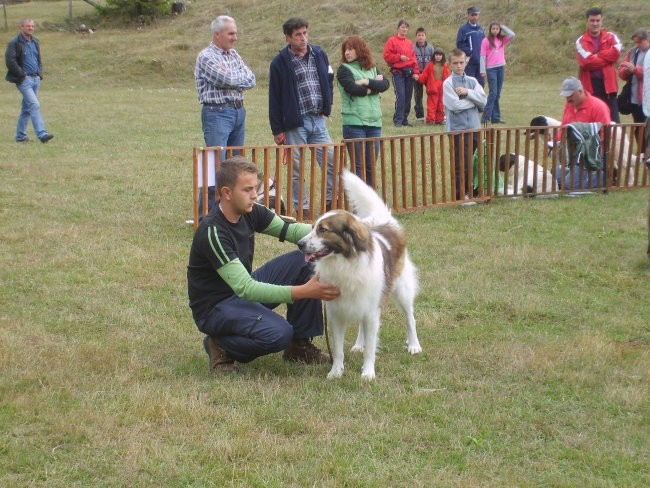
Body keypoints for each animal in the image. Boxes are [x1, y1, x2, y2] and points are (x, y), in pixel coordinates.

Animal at [294, 170, 418, 380]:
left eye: (323, 230)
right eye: (312, 228)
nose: (299, 244)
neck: (345, 261)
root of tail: (385, 222)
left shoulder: (372, 311)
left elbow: (371, 348)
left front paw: (368, 373)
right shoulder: (336, 313)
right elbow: (338, 349)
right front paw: (336, 372)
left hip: (401, 290)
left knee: (410, 318)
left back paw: (414, 345)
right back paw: (359, 345)